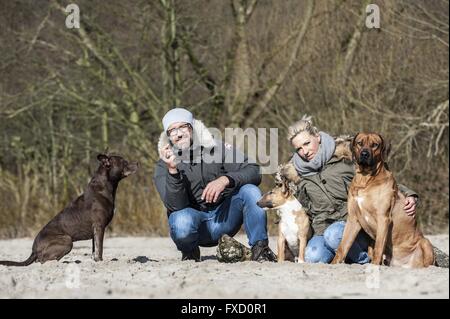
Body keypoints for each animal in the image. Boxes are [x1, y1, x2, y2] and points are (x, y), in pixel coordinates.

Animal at [0, 154, 138, 266]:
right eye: (124, 162)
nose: (137, 163)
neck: (104, 186)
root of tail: (33, 250)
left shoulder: (95, 230)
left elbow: (94, 249)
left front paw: (95, 260)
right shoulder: (99, 227)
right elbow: (100, 248)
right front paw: (100, 261)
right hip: (67, 240)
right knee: (42, 260)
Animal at [332, 134, 434, 268]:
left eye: (375, 145)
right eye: (359, 143)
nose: (364, 154)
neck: (365, 179)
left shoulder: (383, 218)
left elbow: (378, 247)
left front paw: (374, 265)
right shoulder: (353, 219)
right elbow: (342, 247)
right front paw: (332, 264)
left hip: (425, 243)